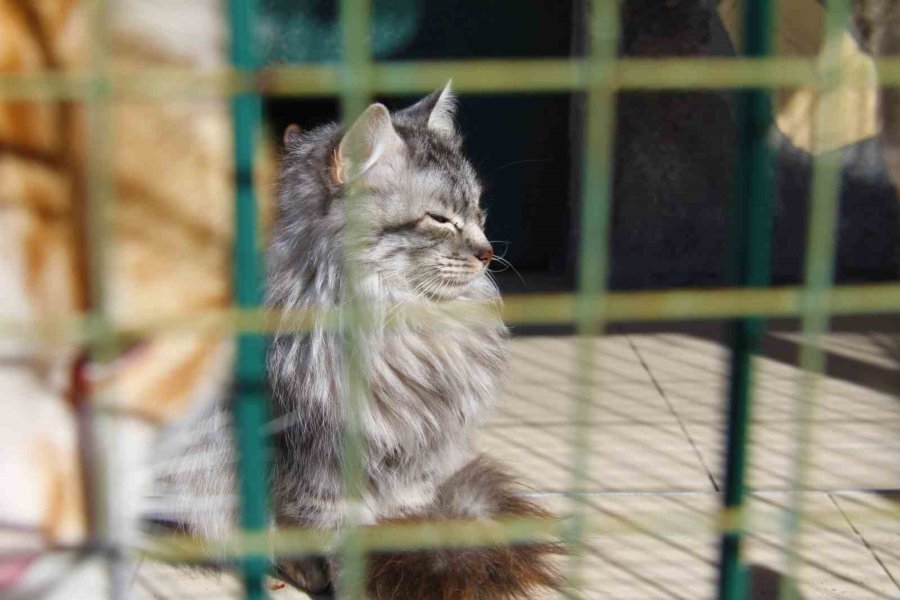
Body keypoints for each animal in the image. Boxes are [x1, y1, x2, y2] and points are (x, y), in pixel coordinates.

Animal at [158, 85, 560, 600]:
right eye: (440, 219)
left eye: (478, 212)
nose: (488, 253)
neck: (402, 326)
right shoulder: (315, 455)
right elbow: (328, 533)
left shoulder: (414, 455)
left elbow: (406, 516)